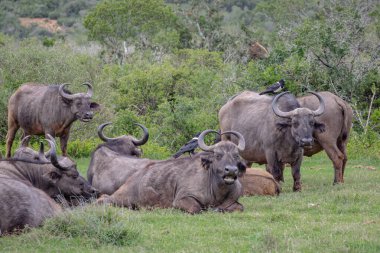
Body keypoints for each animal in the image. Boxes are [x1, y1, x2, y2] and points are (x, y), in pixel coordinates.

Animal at [96, 128, 248, 213]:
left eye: (236, 155)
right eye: (217, 155)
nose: (231, 171)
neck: (217, 191)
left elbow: (239, 207)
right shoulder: (182, 199)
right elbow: (196, 208)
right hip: (123, 198)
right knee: (104, 199)